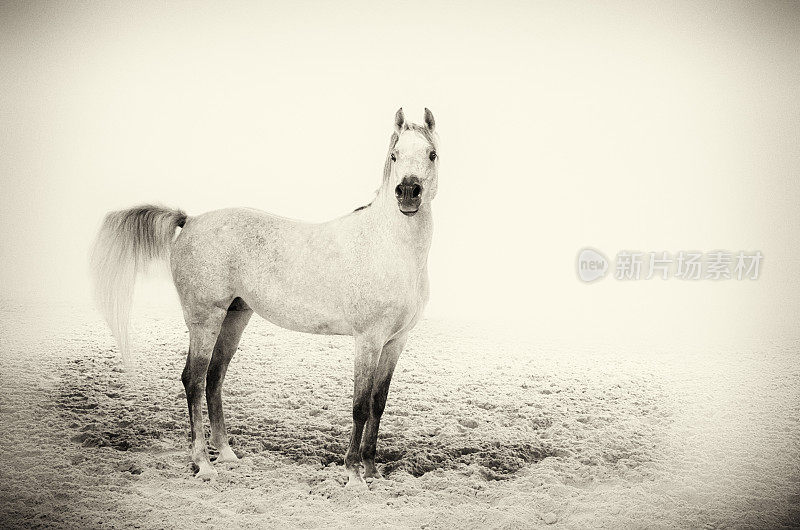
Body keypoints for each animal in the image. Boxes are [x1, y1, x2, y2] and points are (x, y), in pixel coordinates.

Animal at [91, 107, 440, 486]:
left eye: (431, 154)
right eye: (394, 156)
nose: (408, 192)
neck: (388, 248)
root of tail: (191, 220)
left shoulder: (395, 342)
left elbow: (378, 403)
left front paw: (373, 470)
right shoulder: (368, 340)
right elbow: (360, 406)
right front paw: (354, 474)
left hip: (235, 317)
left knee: (214, 378)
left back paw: (227, 454)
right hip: (205, 319)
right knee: (193, 380)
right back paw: (203, 463)